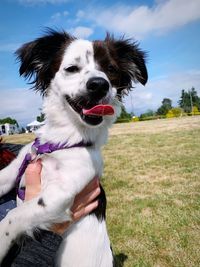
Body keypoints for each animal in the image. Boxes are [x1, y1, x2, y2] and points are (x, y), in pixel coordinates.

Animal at [0, 28, 147, 266]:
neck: (63, 142)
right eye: (71, 69)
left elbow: (13, 217)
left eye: (111, 70)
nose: (99, 84)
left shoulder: (60, 195)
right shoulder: (14, 169)